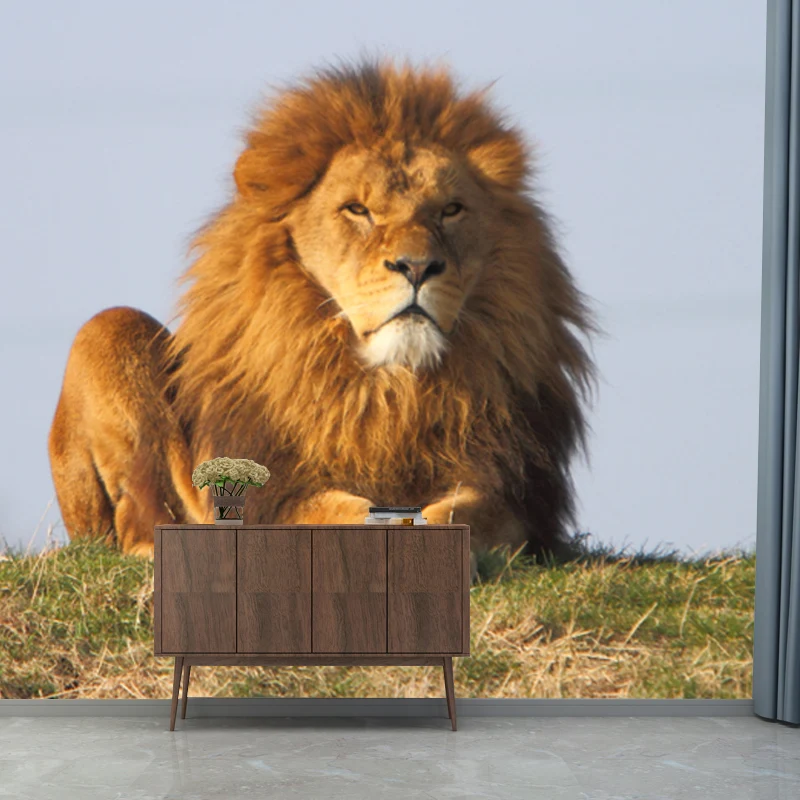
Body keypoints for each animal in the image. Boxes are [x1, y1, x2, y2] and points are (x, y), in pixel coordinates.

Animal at [48, 60, 598, 576]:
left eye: (451, 210)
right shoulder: (274, 492)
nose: (417, 266)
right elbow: (336, 512)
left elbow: (461, 512)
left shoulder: (514, 493)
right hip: (110, 331)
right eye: (357, 210)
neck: (390, 390)